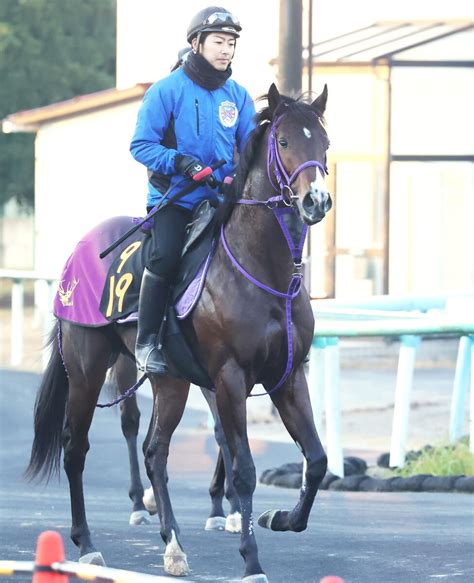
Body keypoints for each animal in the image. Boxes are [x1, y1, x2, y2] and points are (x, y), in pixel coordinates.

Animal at [25, 83, 330, 583]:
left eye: (324, 142)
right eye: (284, 141)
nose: (316, 201)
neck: (264, 271)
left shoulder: (287, 376)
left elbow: (317, 460)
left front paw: (278, 518)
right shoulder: (229, 378)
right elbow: (244, 468)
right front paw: (252, 560)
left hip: (170, 380)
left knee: (155, 450)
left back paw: (173, 545)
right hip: (88, 369)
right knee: (76, 448)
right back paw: (87, 545)